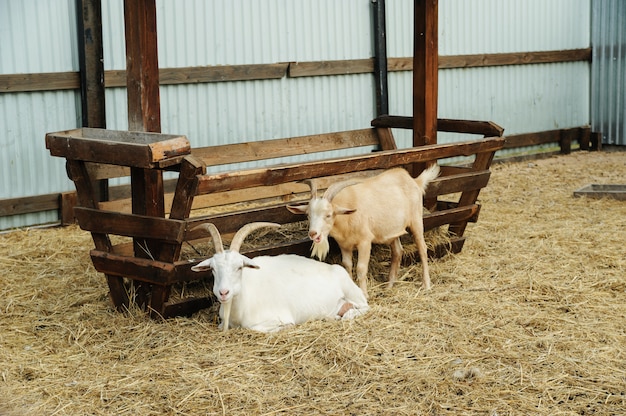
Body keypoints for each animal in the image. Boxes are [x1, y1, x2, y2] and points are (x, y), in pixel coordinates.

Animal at [188, 223, 368, 334]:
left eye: (239, 267)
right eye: (212, 269)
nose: (223, 292)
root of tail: (335, 269)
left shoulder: (276, 317)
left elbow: (254, 328)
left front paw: (285, 328)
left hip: (352, 292)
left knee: (364, 307)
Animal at [286, 164, 436, 298]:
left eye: (328, 215)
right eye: (308, 215)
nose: (313, 233)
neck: (346, 217)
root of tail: (414, 180)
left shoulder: (365, 241)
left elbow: (361, 268)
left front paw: (364, 294)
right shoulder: (344, 245)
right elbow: (347, 266)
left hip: (416, 220)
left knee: (422, 248)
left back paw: (426, 285)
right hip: (392, 230)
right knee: (398, 251)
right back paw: (389, 286)